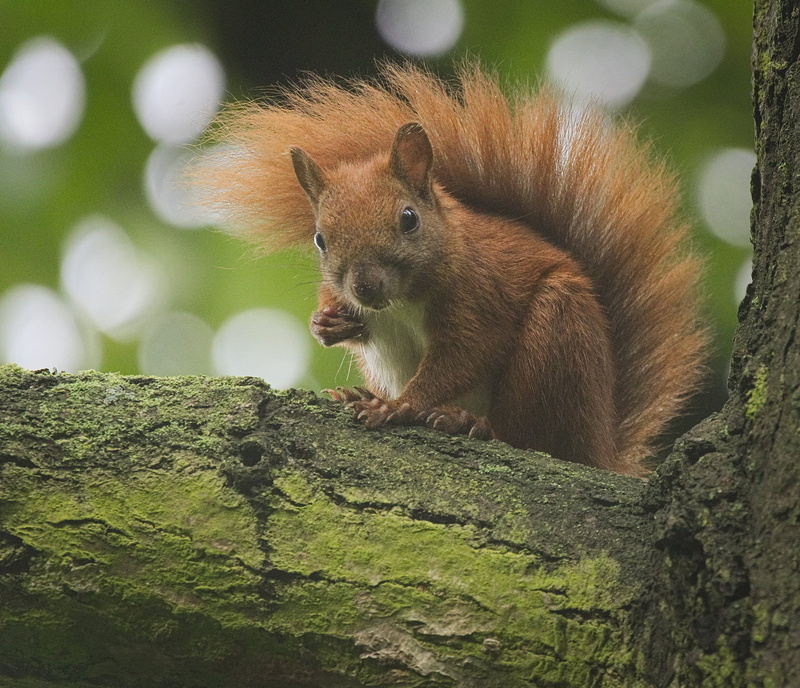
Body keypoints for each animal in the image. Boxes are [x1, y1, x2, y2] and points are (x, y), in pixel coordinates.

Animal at [197, 62, 707, 477]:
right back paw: (360, 394)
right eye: (320, 239)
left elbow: (462, 356)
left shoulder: (478, 298)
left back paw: (468, 422)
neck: (400, 303)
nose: (364, 287)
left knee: (526, 435)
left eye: (408, 219)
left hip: (558, 339)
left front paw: (400, 406)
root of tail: (598, 446)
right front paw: (327, 323)